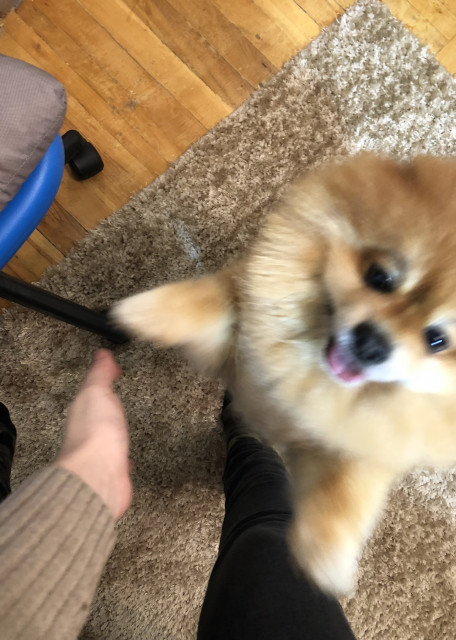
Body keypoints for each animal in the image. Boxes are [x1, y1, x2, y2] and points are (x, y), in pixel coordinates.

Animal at [111, 153, 456, 595]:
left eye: (436, 340)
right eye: (380, 277)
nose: (371, 344)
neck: (307, 374)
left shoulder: (345, 443)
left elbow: (341, 491)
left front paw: (325, 557)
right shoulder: (242, 327)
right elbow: (205, 301)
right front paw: (142, 312)